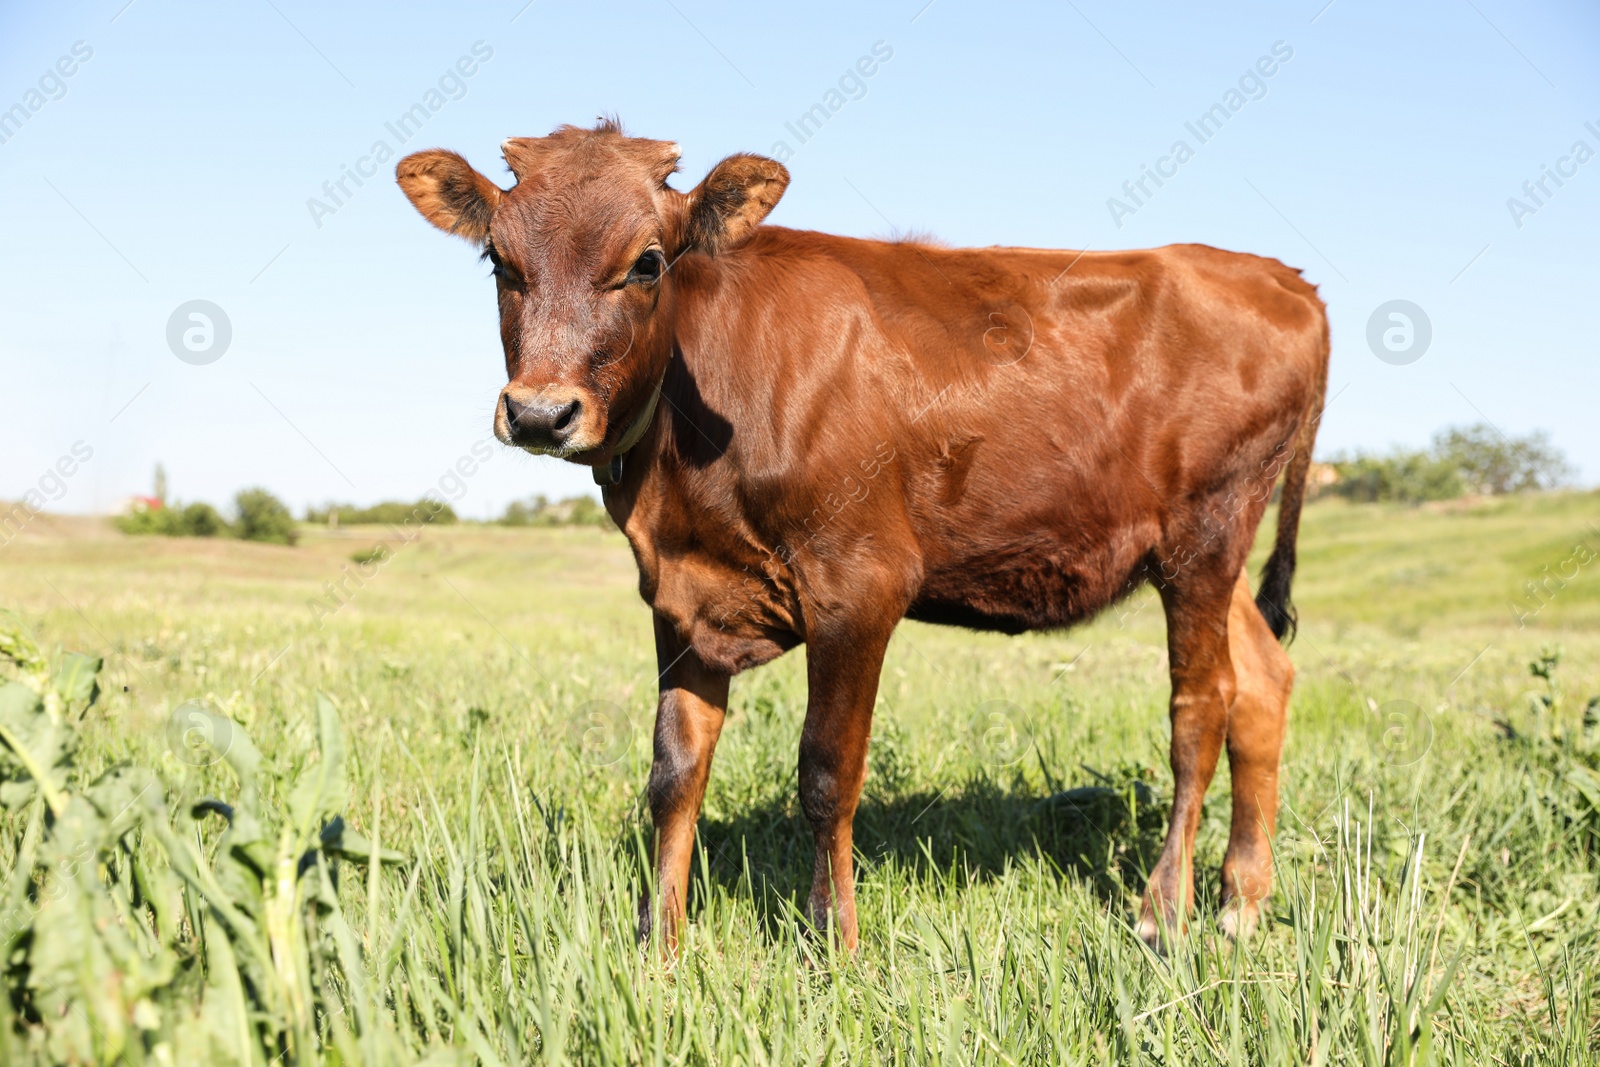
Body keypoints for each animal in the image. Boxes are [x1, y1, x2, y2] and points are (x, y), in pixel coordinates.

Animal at [396, 123, 1324, 953]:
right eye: (499, 262)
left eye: (648, 262)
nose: (539, 412)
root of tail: (1276, 274)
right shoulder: (678, 593)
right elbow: (673, 772)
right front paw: (658, 942)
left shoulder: (859, 583)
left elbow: (826, 771)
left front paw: (831, 940)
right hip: (1202, 553)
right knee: (1263, 682)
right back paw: (1242, 899)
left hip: (1205, 533)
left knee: (1200, 707)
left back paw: (1164, 909)